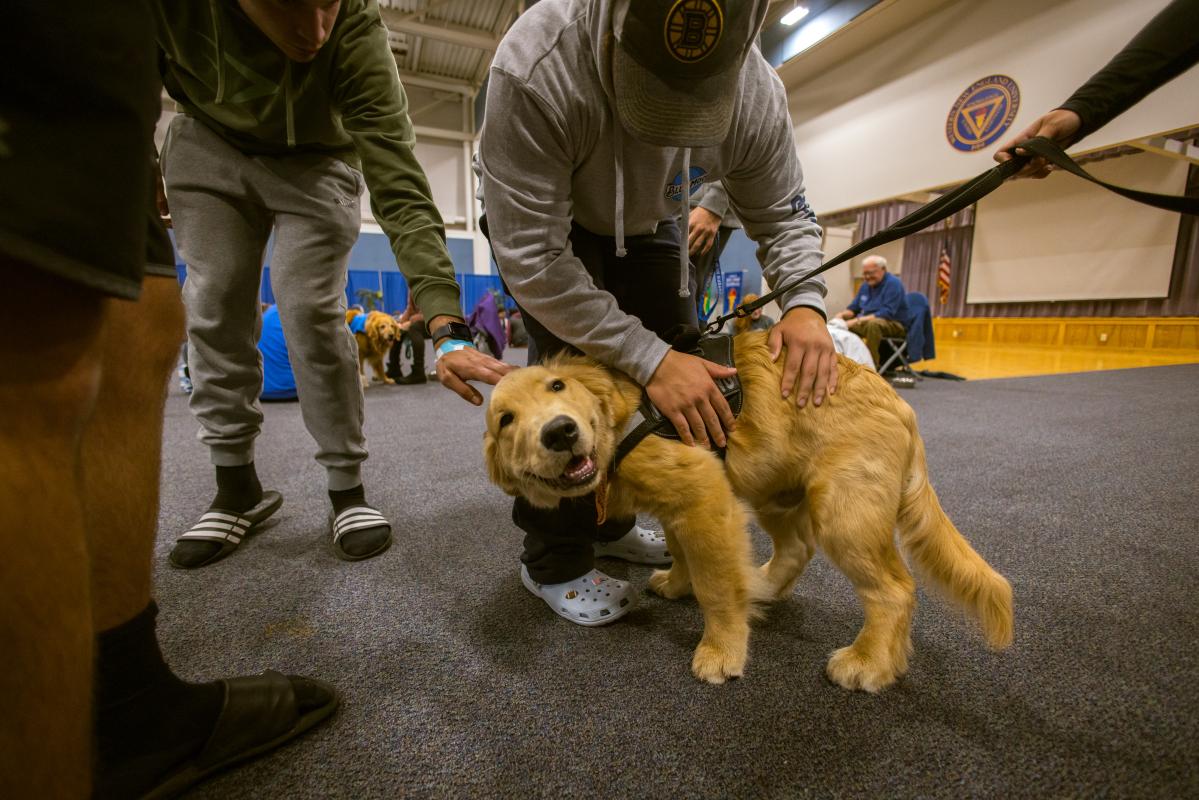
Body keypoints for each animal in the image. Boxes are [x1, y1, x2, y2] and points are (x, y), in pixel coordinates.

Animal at [481, 335, 1016, 690]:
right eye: (506, 420)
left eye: (557, 386)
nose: (560, 432)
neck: (620, 417)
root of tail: (898, 403)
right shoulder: (684, 504)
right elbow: (682, 553)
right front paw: (677, 582)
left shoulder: (707, 498)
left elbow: (716, 588)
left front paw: (721, 651)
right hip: (775, 491)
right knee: (797, 548)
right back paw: (764, 586)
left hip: (844, 514)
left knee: (895, 590)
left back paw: (868, 663)